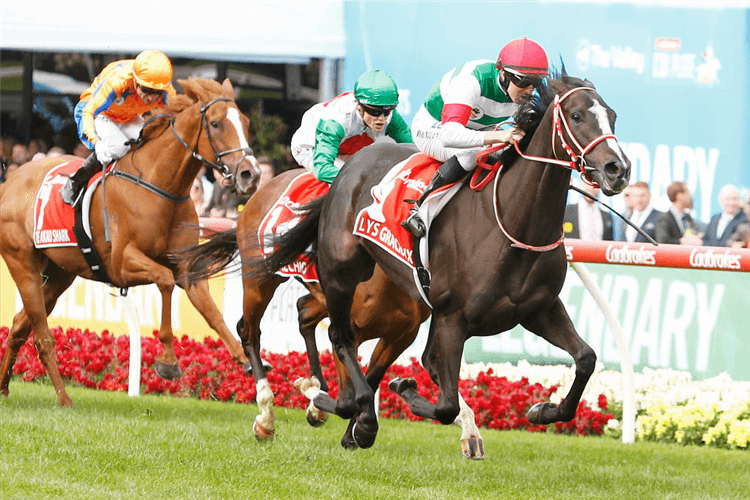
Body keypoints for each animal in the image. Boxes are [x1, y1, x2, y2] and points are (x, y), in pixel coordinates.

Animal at [0, 77, 260, 406]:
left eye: (246, 122)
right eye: (215, 123)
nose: (251, 173)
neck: (159, 186)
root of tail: (10, 181)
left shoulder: (187, 267)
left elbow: (212, 312)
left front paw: (244, 357)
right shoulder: (123, 263)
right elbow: (165, 281)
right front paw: (168, 361)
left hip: (60, 273)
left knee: (19, 325)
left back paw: (4, 387)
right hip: (23, 264)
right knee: (42, 335)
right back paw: (64, 398)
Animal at [179, 170, 490, 458]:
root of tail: (262, 190)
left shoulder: (399, 335)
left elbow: (371, 380)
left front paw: (352, 429)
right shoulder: (348, 329)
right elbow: (349, 395)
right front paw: (333, 411)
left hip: (317, 295)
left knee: (303, 311)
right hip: (260, 277)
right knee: (249, 331)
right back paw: (267, 416)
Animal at [253, 71, 636, 450]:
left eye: (613, 116)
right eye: (577, 116)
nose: (618, 169)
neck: (515, 226)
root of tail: (345, 169)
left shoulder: (538, 310)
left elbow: (586, 359)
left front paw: (542, 410)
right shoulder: (453, 317)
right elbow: (446, 405)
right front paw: (401, 392)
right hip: (340, 272)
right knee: (339, 335)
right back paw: (341, 407)